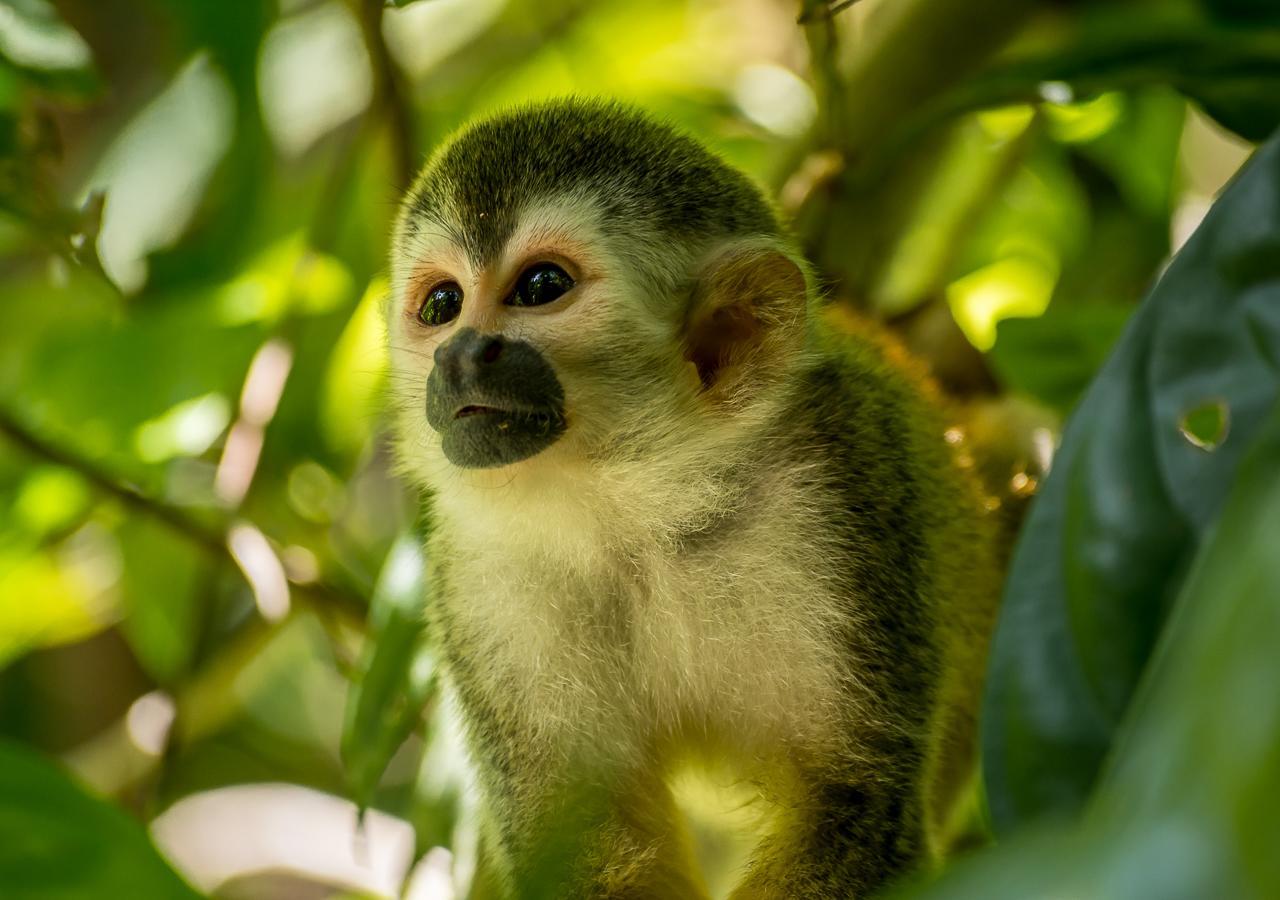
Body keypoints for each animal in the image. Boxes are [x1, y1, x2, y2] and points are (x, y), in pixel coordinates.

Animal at [384, 100, 1003, 900]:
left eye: (541, 286)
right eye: (442, 303)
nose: (460, 353)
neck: (638, 515)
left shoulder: (845, 487)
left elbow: (854, 796)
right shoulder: (476, 577)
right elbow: (573, 838)